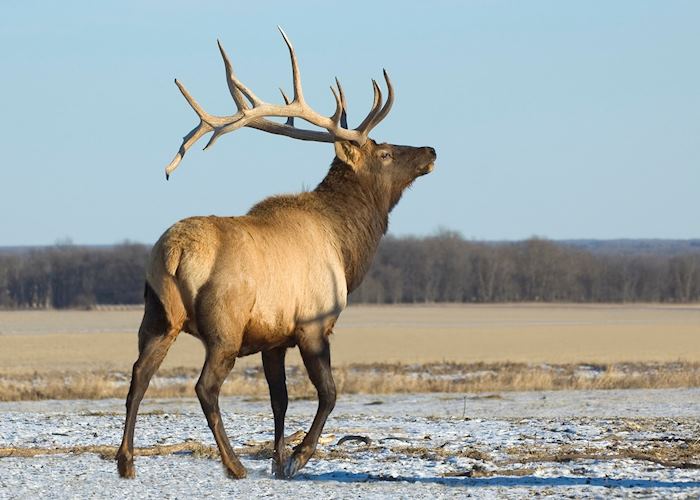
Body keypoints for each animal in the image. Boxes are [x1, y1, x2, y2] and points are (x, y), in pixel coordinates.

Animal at [116, 27, 436, 480]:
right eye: (385, 151)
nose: (431, 151)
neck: (347, 248)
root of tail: (174, 252)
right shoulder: (313, 324)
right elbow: (328, 393)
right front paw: (298, 457)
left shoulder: (273, 338)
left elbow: (279, 400)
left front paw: (278, 458)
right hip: (224, 326)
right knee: (205, 387)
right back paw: (233, 464)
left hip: (157, 316)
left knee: (138, 376)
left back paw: (125, 462)